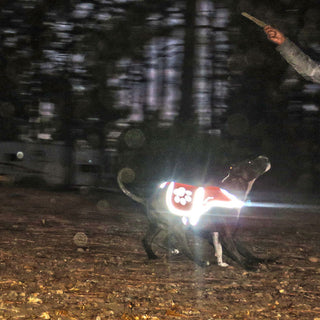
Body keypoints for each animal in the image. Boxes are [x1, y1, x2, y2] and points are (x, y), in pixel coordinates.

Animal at [117, 156, 270, 268]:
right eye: (250, 162)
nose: (265, 157)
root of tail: (148, 199)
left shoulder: (227, 234)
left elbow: (243, 251)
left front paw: (259, 260)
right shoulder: (226, 235)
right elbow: (235, 252)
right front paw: (248, 266)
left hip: (162, 226)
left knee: (150, 240)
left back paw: (154, 255)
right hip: (178, 227)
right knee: (184, 248)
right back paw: (200, 262)